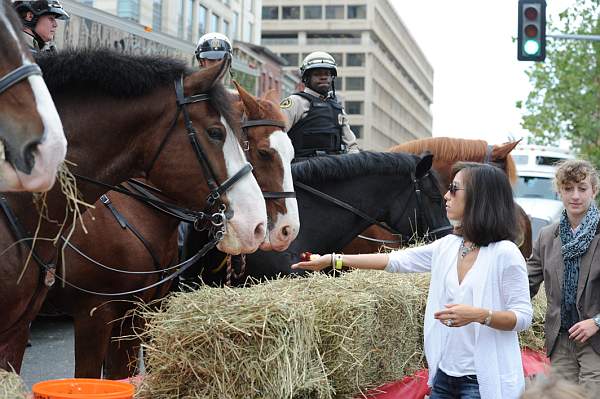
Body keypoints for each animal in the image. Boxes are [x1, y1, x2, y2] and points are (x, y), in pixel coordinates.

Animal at [41, 83, 296, 380]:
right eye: (264, 152)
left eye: (291, 153)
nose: (288, 230)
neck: (136, 210)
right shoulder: (94, 315)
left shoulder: (137, 314)